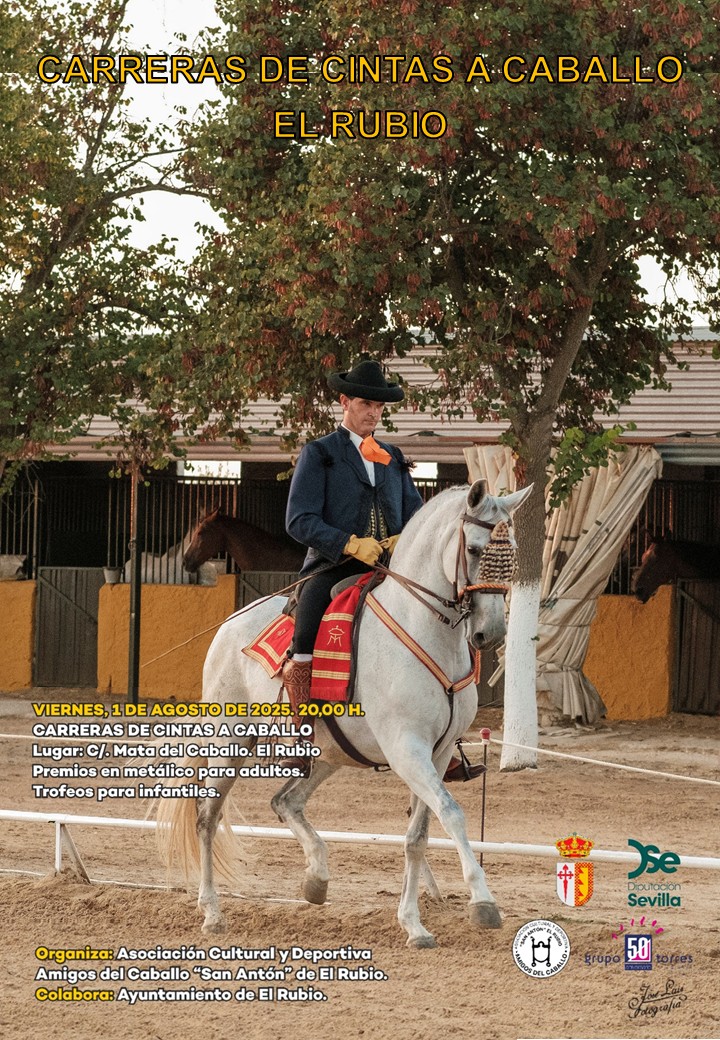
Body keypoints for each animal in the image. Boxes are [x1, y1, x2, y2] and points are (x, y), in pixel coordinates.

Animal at [156, 480, 532, 948]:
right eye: (477, 549)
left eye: (511, 551)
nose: (490, 633)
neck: (426, 630)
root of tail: (228, 626)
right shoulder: (407, 750)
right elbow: (452, 814)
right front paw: (482, 901)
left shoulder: (438, 752)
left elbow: (418, 836)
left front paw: (413, 923)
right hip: (231, 743)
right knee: (208, 818)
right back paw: (212, 912)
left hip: (327, 752)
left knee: (285, 800)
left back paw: (316, 878)